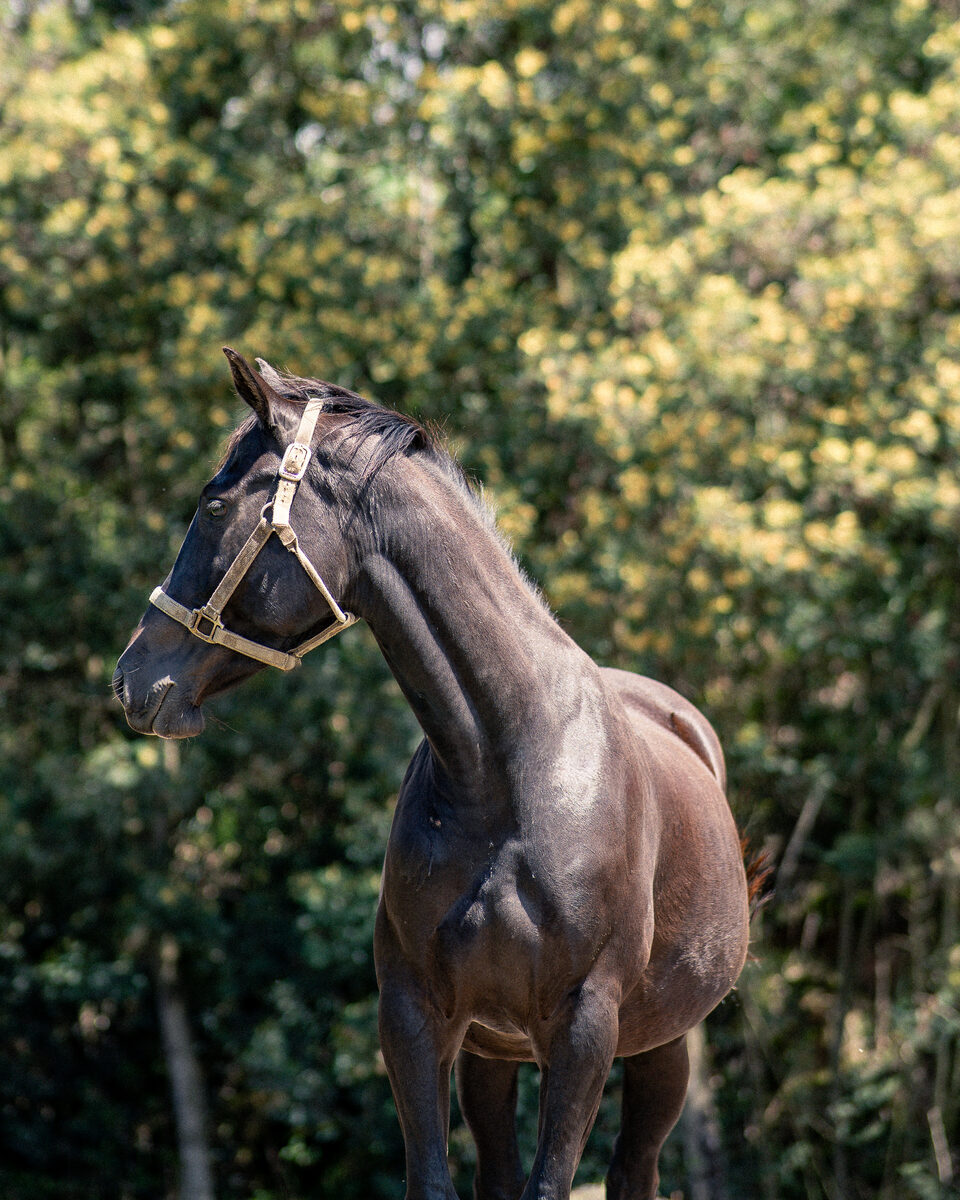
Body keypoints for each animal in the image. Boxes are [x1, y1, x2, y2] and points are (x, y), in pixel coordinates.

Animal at [114, 349, 751, 1200]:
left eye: (215, 506)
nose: (132, 677)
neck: (505, 775)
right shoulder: (416, 1016)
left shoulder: (584, 1027)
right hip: (494, 1052)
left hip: (661, 1047)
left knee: (633, 1169)